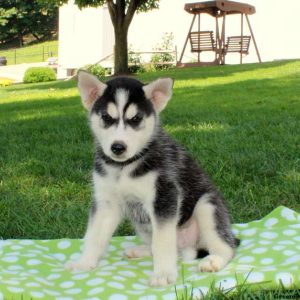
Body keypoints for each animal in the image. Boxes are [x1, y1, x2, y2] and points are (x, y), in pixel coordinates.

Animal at [65, 71, 239, 288]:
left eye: (136, 118)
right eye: (106, 117)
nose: (118, 147)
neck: (124, 167)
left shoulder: (164, 196)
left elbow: (162, 241)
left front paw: (163, 273)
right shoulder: (106, 203)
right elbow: (94, 236)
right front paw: (84, 262)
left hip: (207, 207)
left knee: (226, 246)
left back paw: (214, 260)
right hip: (142, 223)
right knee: (156, 244)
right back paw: (141, 250)